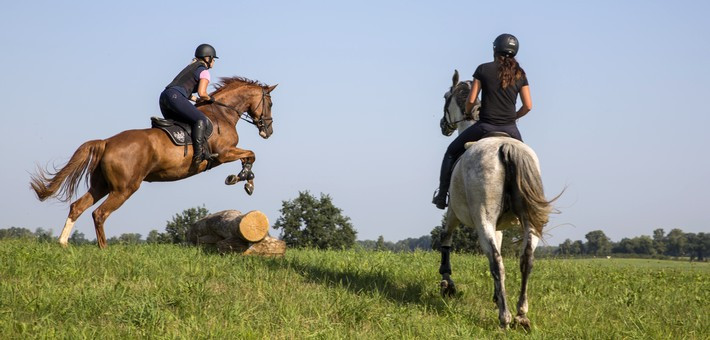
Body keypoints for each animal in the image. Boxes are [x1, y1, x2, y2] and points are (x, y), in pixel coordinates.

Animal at [32, 76, 278, 247]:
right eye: (271, 103)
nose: (268, 131)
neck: (222, 113)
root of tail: (107, 142)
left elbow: (249, 155)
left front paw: (243, 179)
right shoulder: (225, 153)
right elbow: (251, 154)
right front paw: (243, 179)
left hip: (101, 185)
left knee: (78, 206)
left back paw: (63, 243)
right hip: (124, 188)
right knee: (99, 214)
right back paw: (104, 249)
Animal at [436, 68, 560, 330]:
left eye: (445, 97)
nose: (443, 126)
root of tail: (505, 147)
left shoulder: (453, 212)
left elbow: (446, 239)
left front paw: (447, 283)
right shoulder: (499, 225)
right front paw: (495, 294)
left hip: (482, 218)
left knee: (496, 260)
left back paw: (505, 317)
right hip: (528, 221)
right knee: (526, 259)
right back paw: (521, 314)